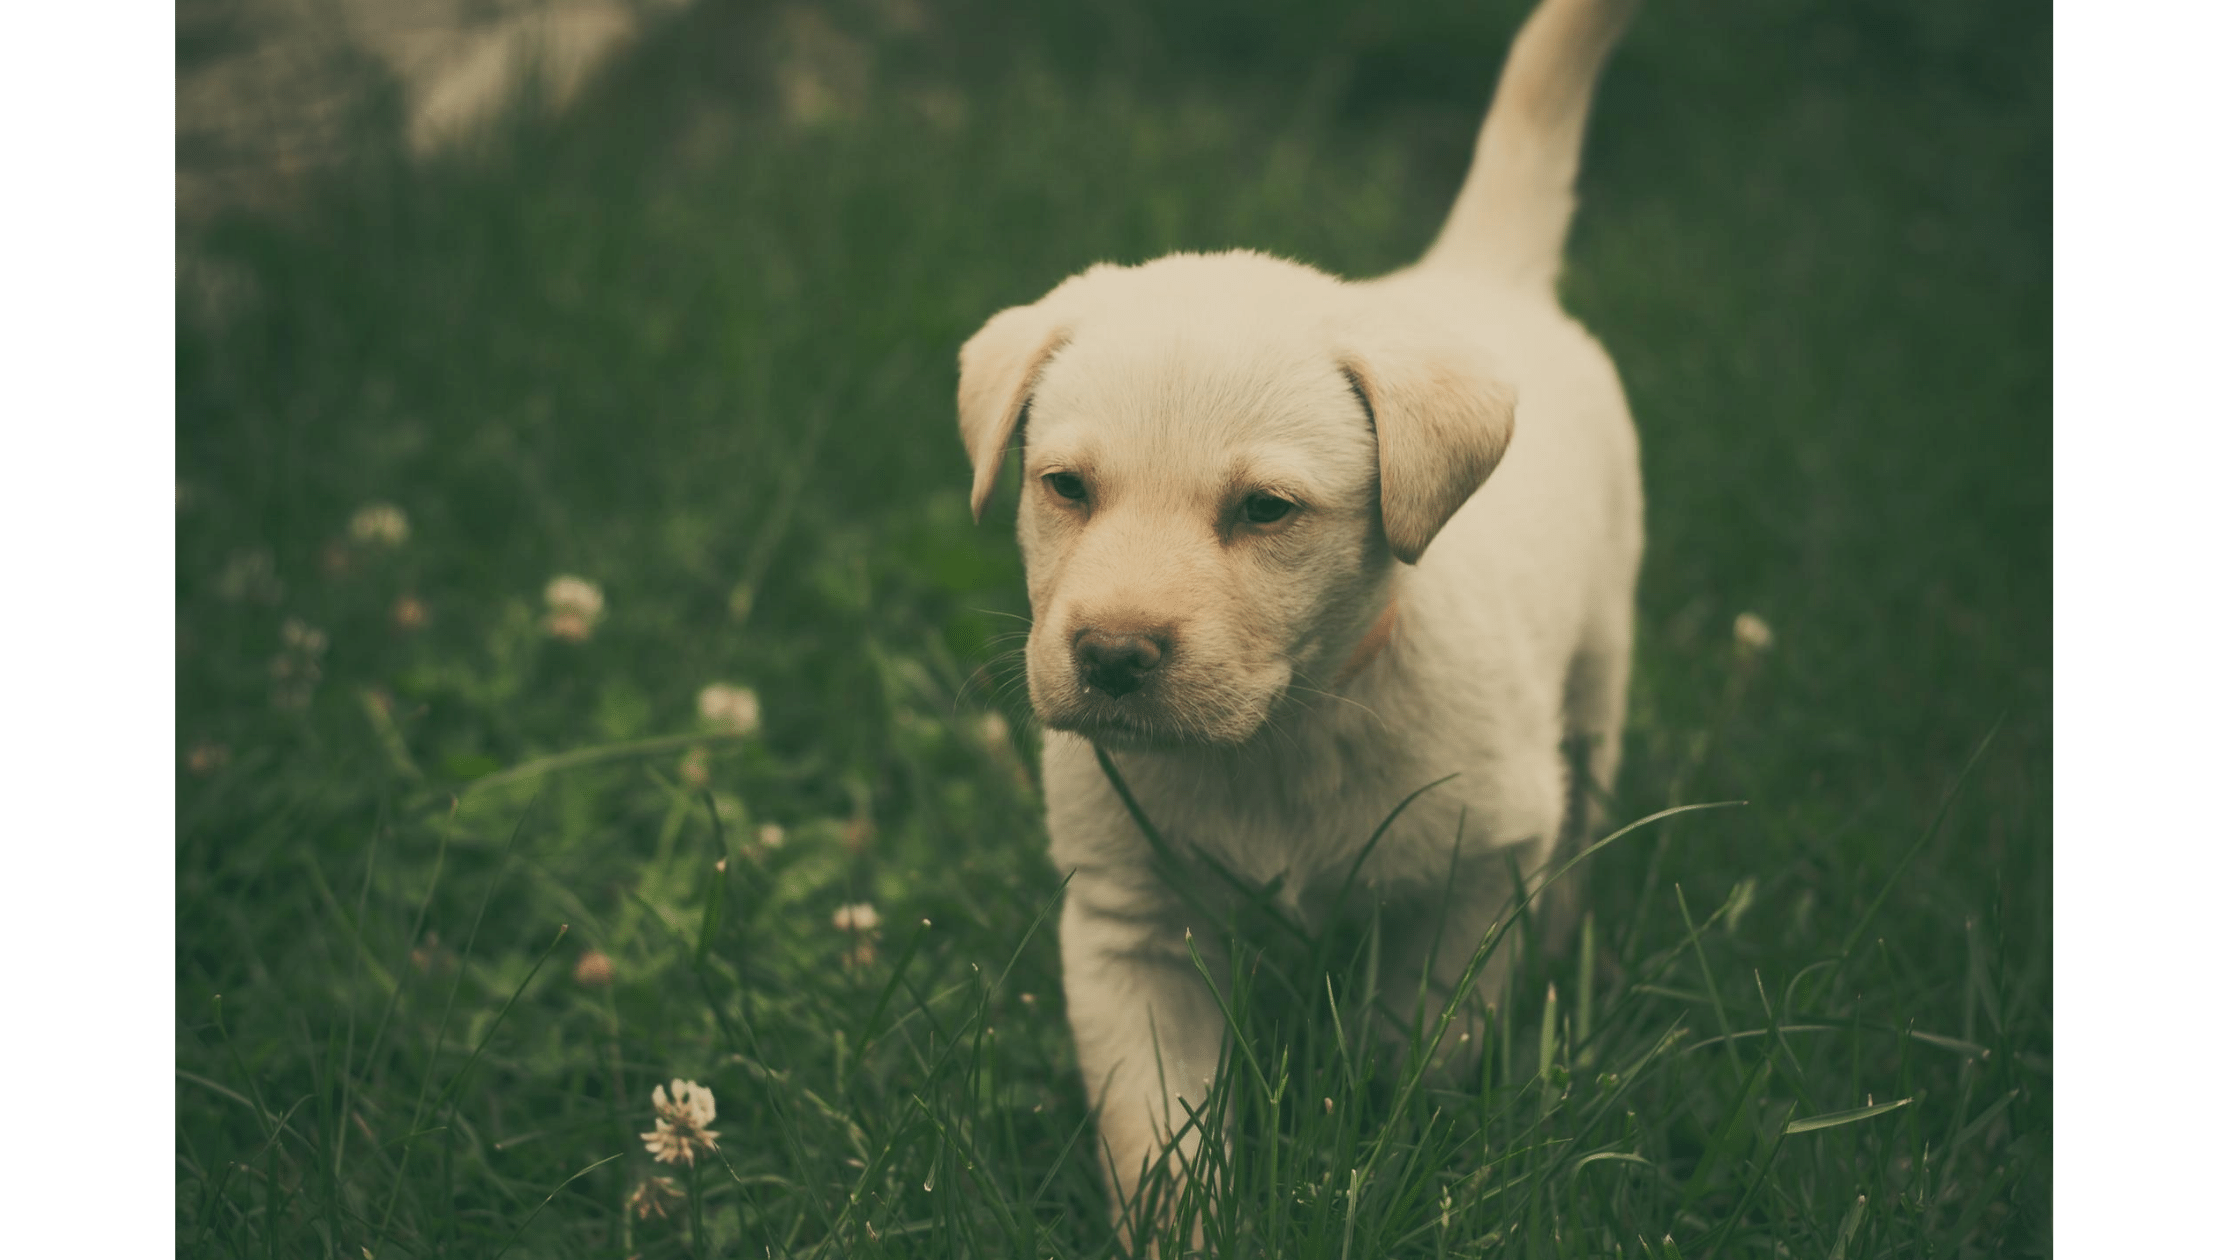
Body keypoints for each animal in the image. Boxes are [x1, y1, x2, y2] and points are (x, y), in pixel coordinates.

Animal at [954, 0, 1639, 1228]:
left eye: (1265, 510)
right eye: (1064, 487)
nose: (1110, 654)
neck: (1282, 734)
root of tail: (1476, 278)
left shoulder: (1476, 866)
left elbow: (1418, 1036)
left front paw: (1380, 1138)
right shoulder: (1131, 925)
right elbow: (1156, 1126)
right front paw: (1181, 1227)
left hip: (1599, 668)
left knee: (1584, 812)